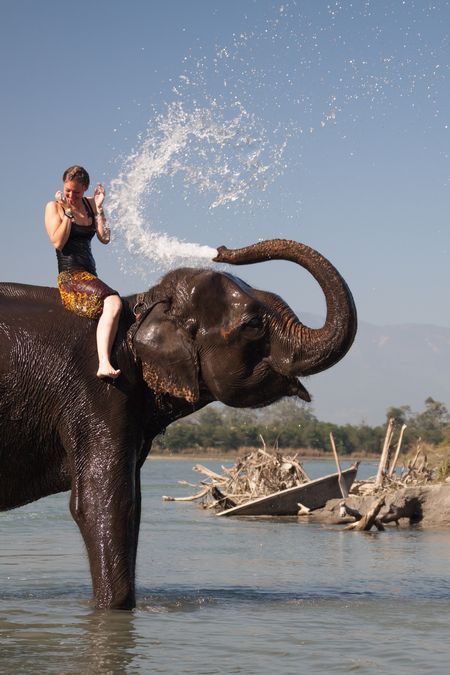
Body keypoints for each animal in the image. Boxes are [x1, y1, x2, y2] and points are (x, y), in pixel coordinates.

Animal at [0, 240, 358, 608]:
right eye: (254, 324)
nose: (222, 250)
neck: (140, 309)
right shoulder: (101, 390)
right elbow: (103, 503)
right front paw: (113, 610)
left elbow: (133, 505)